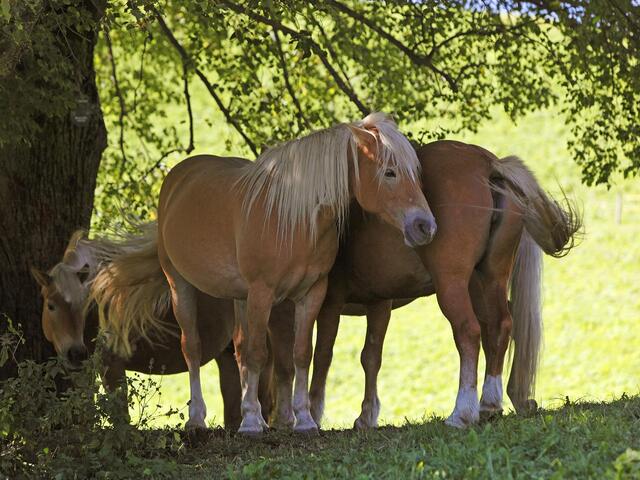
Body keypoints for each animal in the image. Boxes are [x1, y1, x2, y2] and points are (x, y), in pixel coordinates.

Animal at [157, 112, 434, 435]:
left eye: (416, 172)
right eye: (390, 173)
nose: (425, 226)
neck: (293, 218)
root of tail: (179, 174)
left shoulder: (311, 293)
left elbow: (301, 353)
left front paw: (303, 419)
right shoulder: (263, 293)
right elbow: (259, 354)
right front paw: (251, 424)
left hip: (239, 295)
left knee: (238, 348)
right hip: (180, 284)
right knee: (193, 347)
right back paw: (197, 418)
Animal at [307, 140, 581, 429]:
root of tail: (488, 162)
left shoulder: (330, 301)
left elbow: (318, 354)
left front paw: (310, 412)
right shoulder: (379, 300)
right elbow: (370, 356)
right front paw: (365, 416)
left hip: (453, 285)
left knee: (469, 331)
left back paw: (463, 412)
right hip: (490, 278)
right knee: (501, 325)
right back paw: (493, 402)